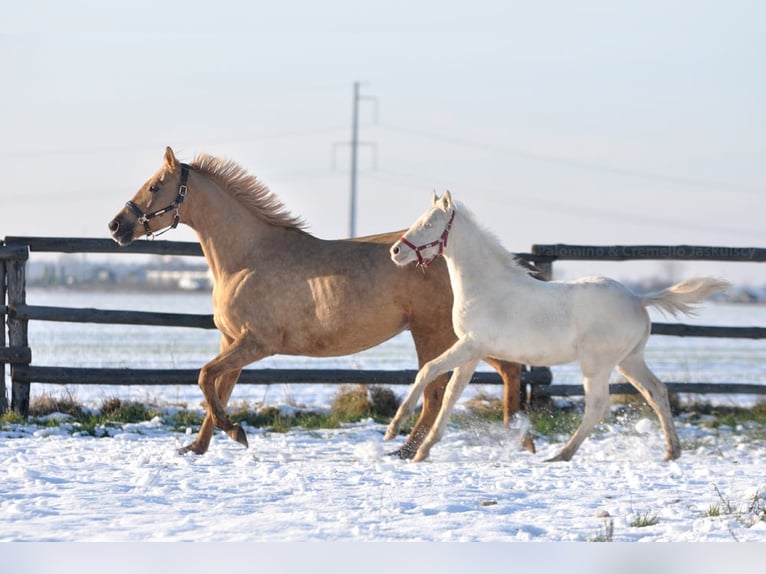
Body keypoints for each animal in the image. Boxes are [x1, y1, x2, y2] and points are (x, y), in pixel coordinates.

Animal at [108, 147, 531, 456]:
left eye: (155, 186)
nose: (116, 226)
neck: (247, 258)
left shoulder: (256, 343)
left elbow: (204, 377)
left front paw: (235, 432)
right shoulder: (230, 341)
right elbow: (217, 390)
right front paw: (197, 447)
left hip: (434, 333)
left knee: (437, 393)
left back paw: (414, 449)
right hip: (461, 337)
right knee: (505, 371)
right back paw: (521, 438)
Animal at [386, 191, 730, 462]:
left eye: (429, 224)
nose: (396, 252)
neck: (485, 288)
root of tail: (637, 299)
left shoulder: (470, 345)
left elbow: (428, 370)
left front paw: (394, 428)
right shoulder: (471, 354)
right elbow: (451, 395)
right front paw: (423, 451)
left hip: (597, 364)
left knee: (598, 404)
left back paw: (562, 454)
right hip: (629, 361)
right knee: (657, 391)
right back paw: (672, 451)